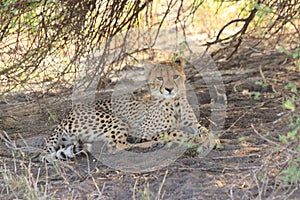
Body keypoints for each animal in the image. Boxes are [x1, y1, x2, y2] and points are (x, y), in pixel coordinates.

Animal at [41, 58, 211, 161]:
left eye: (175, 76)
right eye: (160, 78)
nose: (169, 89)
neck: (174, 103)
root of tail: (64, 118)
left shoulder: (193, 124)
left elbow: (203, 129)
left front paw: (210, 138)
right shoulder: (143, 131)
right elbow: (175, 132)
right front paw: (195, 139)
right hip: (116, 120)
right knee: (116, 146)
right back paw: (151, 144)